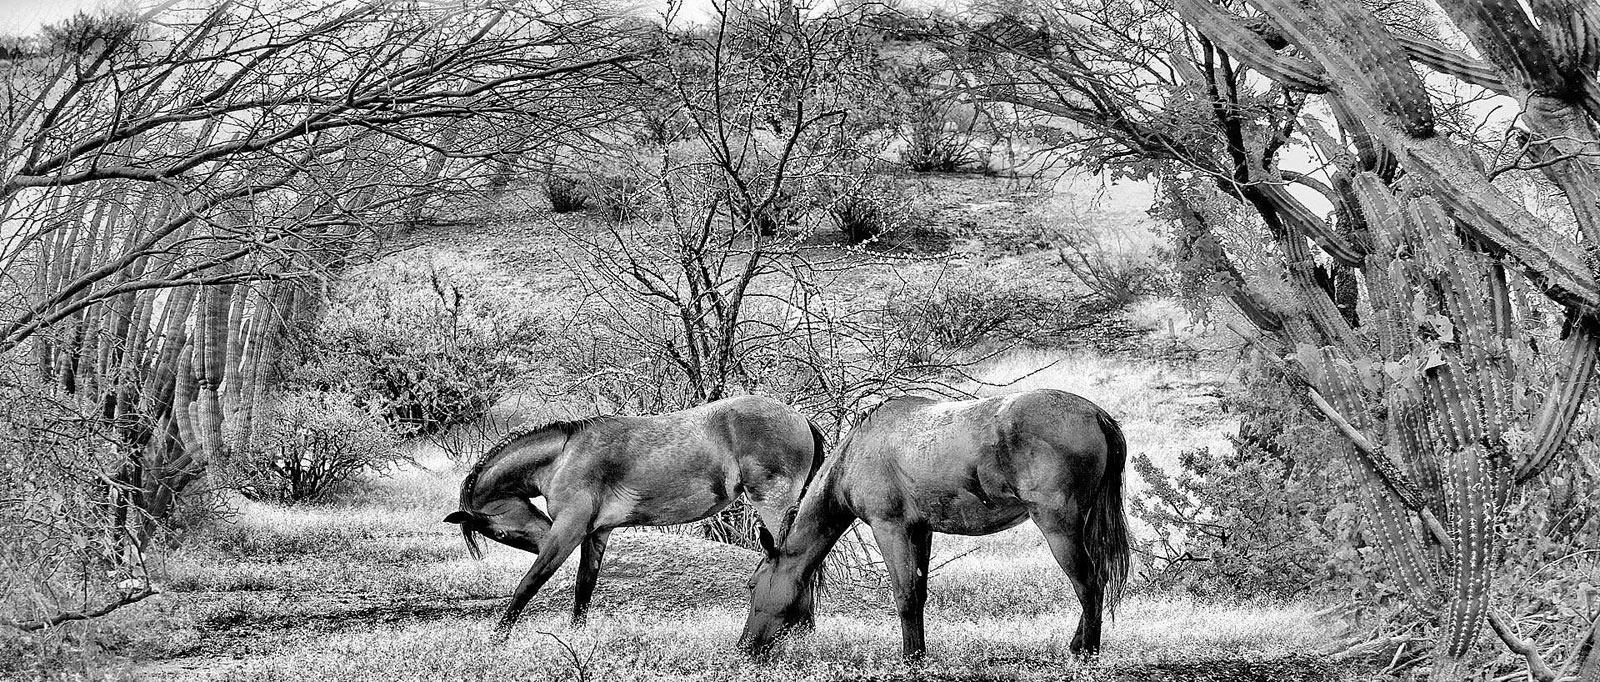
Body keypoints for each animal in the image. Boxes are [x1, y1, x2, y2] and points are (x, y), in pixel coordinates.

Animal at [448, 393, 825, 640]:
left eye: (501, 534)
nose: (542, 541)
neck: (566, 455)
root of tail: (799, 418)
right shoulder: (595, 534)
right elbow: (584, 588)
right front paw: (576, 638)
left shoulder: (568, 532)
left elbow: (529, 583)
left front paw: (498, 637)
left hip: (773, 506)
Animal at [736, 389, 1126, 659]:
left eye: (753, 585)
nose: (744, 646)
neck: (858, 452)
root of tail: (1096, 415)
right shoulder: (920, 531)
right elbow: (919, 593)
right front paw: (920, 652)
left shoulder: (890, 529)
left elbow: (905, 594)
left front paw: (910, 658)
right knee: (1097, 579)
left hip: (1060, 527)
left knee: (1089, 583)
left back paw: (1086, 651)